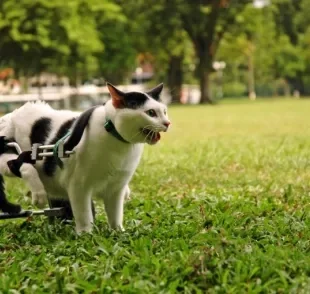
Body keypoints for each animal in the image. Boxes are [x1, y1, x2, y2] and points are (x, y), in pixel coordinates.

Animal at [0, 83, 170, 234]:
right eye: (151, 113)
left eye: (164, 111)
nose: (167, 123)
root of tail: (11, 115)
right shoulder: (78, 187)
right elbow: (84, 215)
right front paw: (85, 234)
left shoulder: (116, 188)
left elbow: (115, 214)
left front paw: (118, 232)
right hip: (9, 151)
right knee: (19, 163)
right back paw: (38, 193)